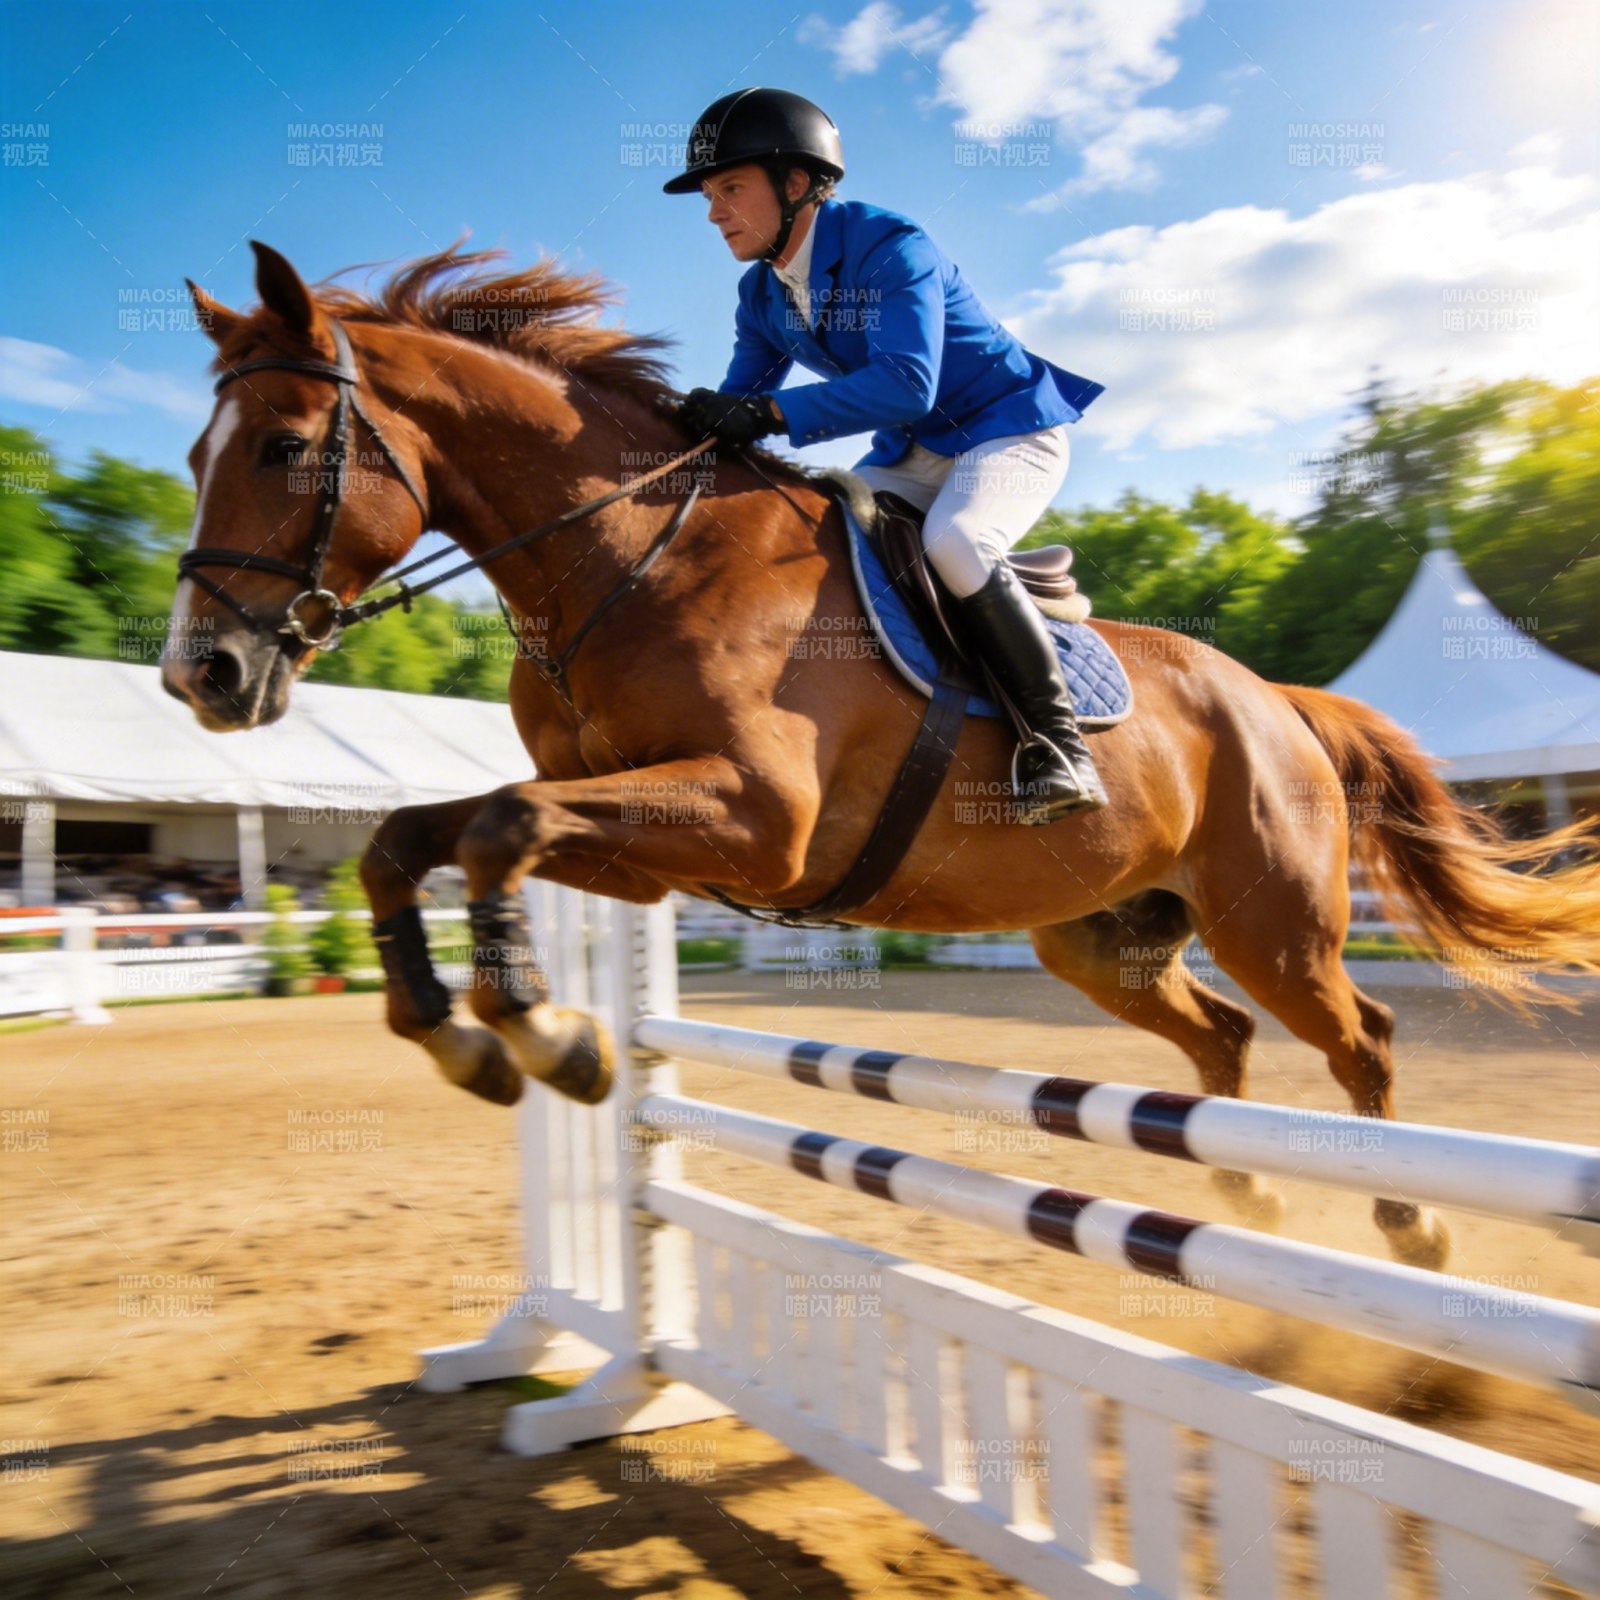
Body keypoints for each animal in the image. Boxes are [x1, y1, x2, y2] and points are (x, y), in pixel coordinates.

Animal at [161, 241, 1600, 1270]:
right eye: (193, 453)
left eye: (286, 448)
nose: (200, 676)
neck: (625, 558)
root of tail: (1281, 699)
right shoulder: (642, 848)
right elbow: (421, 835)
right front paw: (460, 1032)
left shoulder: (752, 821)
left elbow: (498, 824)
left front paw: (548, 1036)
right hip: (1101, 934)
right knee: (1223, 1039)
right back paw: (1245, 1207)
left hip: (1274, 916)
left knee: (1357, 1035)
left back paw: (1410, 1231)